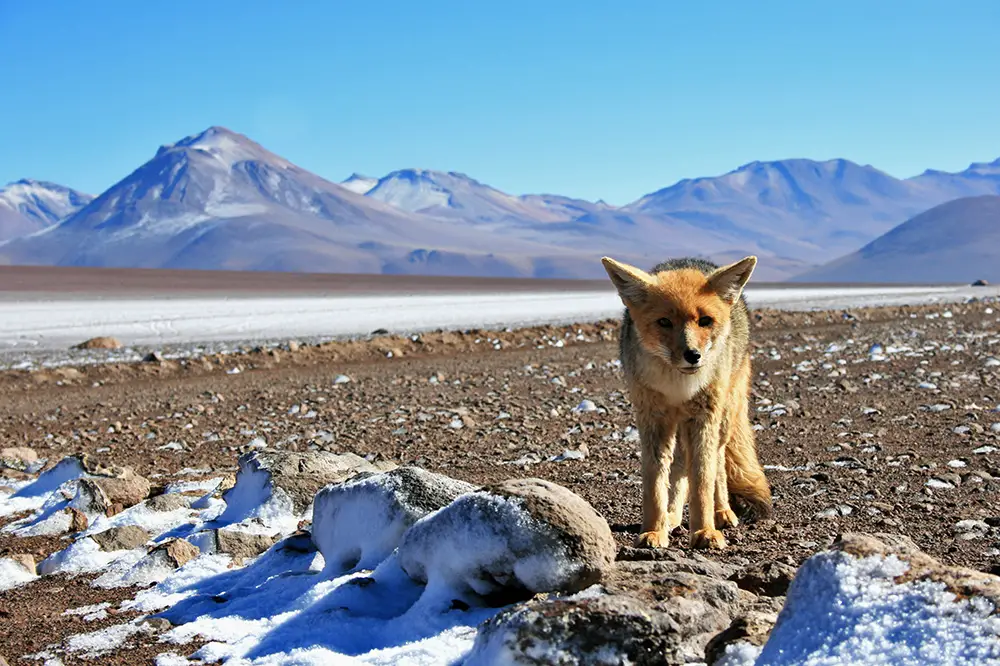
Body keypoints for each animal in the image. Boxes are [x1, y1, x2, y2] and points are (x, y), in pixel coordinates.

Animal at [600, 252, 772, 548]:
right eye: (664, 322)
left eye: (705, 321)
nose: (693, 355)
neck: (679, 387)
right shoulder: (653, 420)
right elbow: (655, 481)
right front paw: (653, 530)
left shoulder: (703, 418)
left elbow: (702, 478)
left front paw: (704, 531)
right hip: (678, 428)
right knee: (680, 467)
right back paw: (672, 516)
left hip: (722, 420)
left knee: (717, 463)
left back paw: (721, 512)